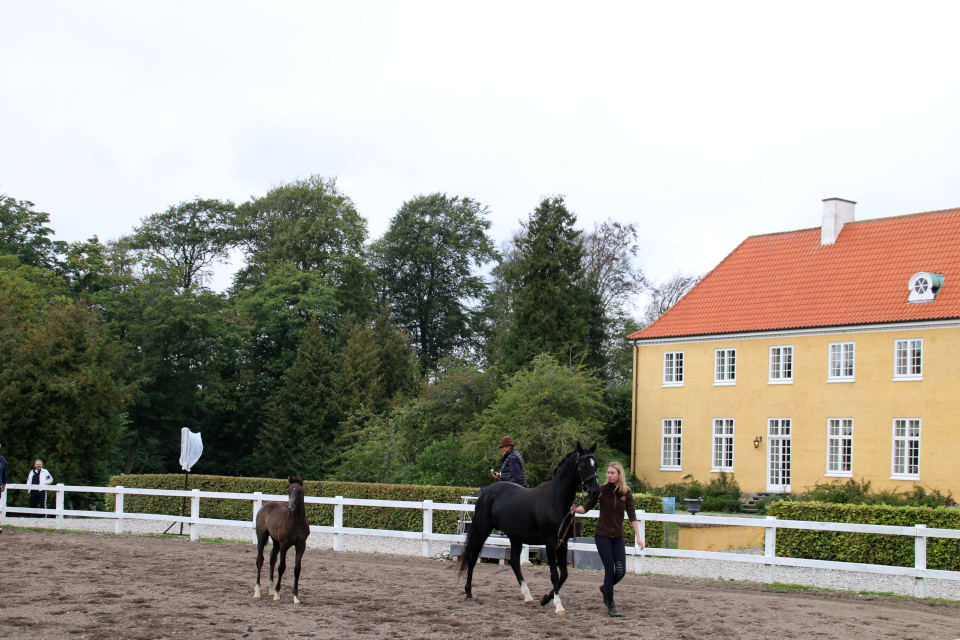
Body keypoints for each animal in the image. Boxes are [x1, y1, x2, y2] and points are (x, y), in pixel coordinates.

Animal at [253, 476, 310, 604]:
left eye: (300, 491)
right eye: (288, 490)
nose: (290, 506)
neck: (297, 522)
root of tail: (265, 506)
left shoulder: (301, 545)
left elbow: (297, 569)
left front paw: (295, 597)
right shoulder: (284, 544)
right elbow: (282, 567)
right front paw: (277, 594)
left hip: (276, 541)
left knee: (272, 558)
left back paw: (270, 589)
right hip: (262, 536)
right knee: (260, 559)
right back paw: (258, 591)